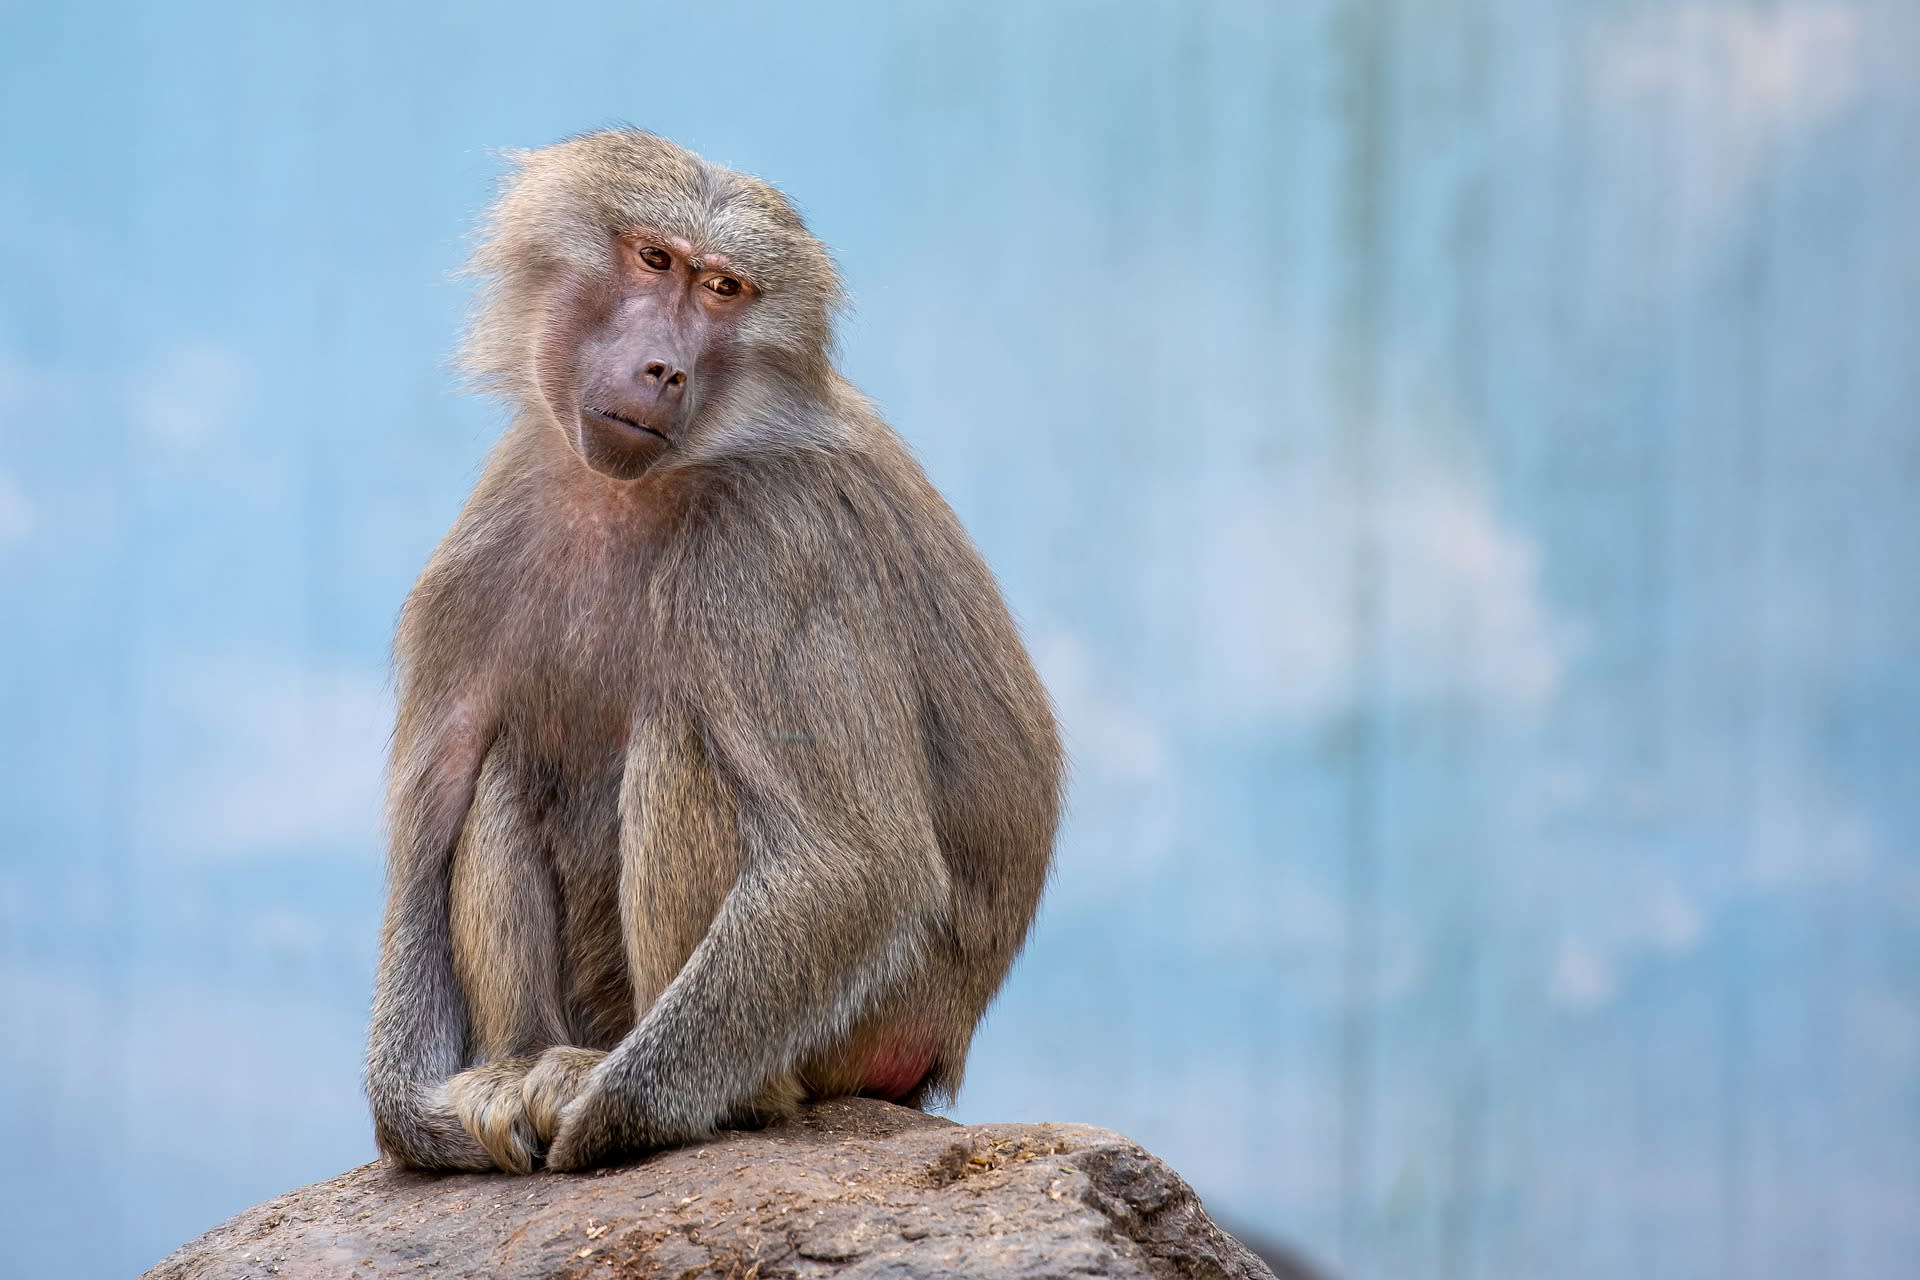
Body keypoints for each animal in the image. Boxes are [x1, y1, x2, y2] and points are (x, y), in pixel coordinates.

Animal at [362, 132, 1067, 1182]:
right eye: (655, 261)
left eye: (725, 288)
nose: (662, 370)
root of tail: (945, 1046)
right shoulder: (487, 544)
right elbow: (429, 833)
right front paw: (423, 1121)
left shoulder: (773, 551)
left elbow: (849, 864)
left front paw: (610, 1113)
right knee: (507, 764)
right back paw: (522, 1061)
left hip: (866, 1025)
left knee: (682, 739)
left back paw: (702, 1094)